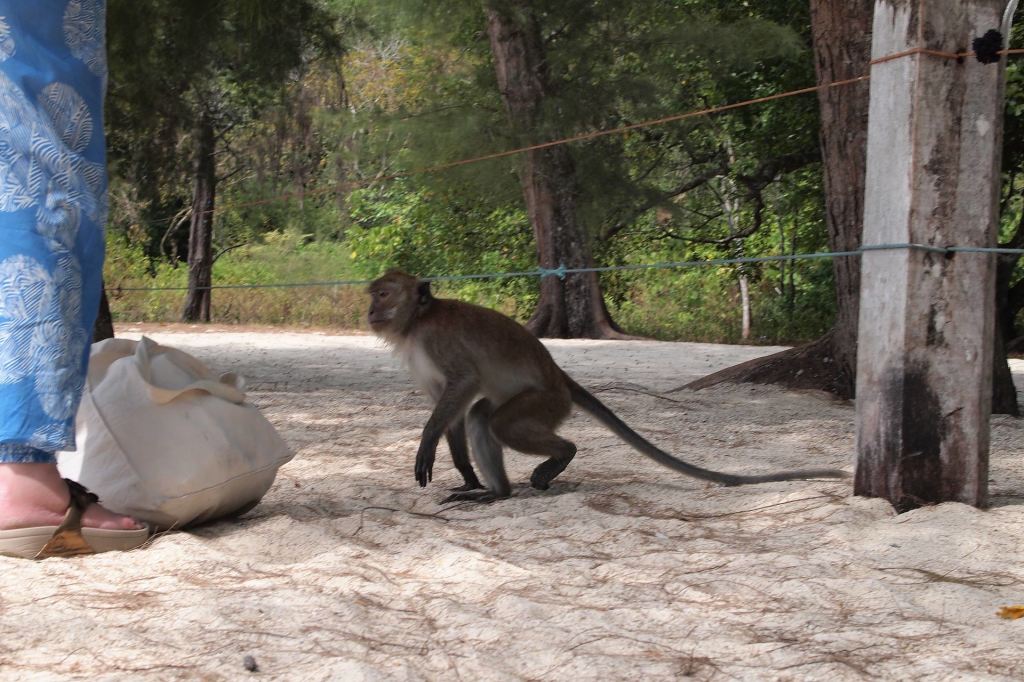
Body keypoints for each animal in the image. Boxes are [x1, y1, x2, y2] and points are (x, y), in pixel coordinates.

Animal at [368, 268, 847, 501]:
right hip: (550, 403)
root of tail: (559, 375)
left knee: (499, 421)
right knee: (483, 416)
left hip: (548, 402)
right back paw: (492, 491)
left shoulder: (437, 341)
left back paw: (546, 465)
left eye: (385, 294)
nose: (370, 310)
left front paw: (429, 443)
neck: (417, 322)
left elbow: (463, 384)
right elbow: (448, 403)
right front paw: (465, 474)